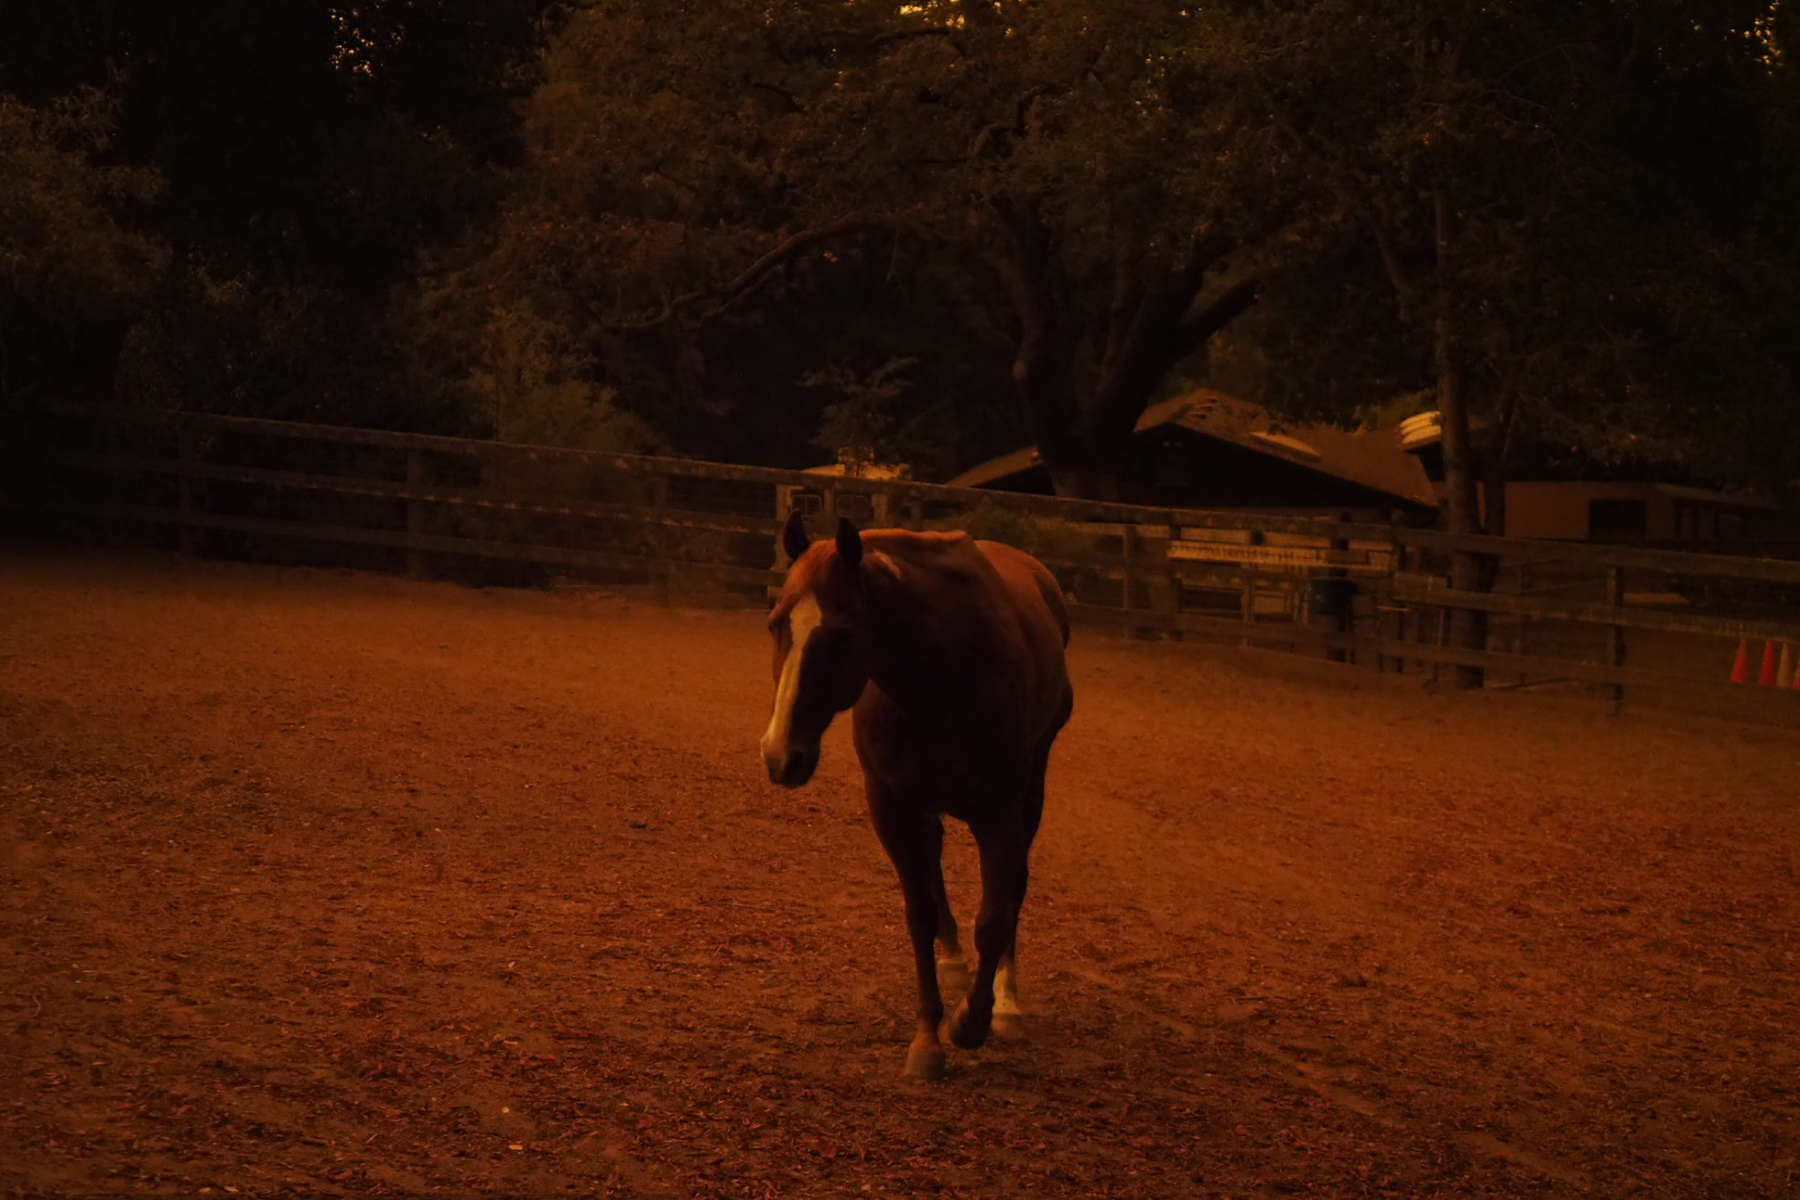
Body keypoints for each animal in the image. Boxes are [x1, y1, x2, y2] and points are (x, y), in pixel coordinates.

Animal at [758, 512, 1073, 1079]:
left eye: (842, 635)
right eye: (775, 623)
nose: (779, 755)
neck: (941, 680)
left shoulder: (1001, 813)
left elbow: (996, 914)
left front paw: (973, 1021)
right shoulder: (893, 807)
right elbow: (919, 914)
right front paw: (928, 1037)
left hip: (1030, 793)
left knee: (1013, 888)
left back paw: (1006, 1000)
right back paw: (952, 959)